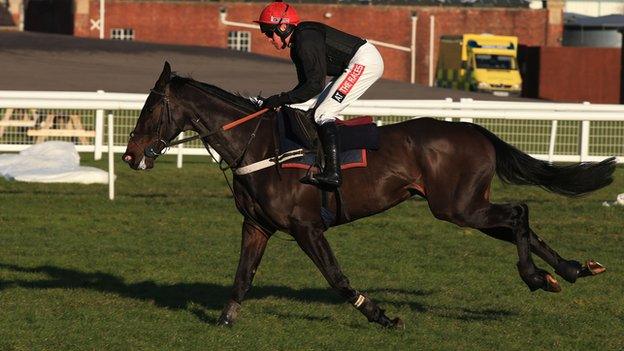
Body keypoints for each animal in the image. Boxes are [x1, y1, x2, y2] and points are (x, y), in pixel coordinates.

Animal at [123, 63, 616, 330]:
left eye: (150, 109)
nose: (129, 155)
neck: (258, 146)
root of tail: (475, 131)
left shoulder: (306, 227)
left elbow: (337, 278)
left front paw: (381, 315)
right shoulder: (258, 225)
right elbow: (242, 276)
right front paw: (225, 321)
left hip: (458, 207)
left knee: (518, 212)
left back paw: (535, 277)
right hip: (467, 206)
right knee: (520, 224)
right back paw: (568, 271)